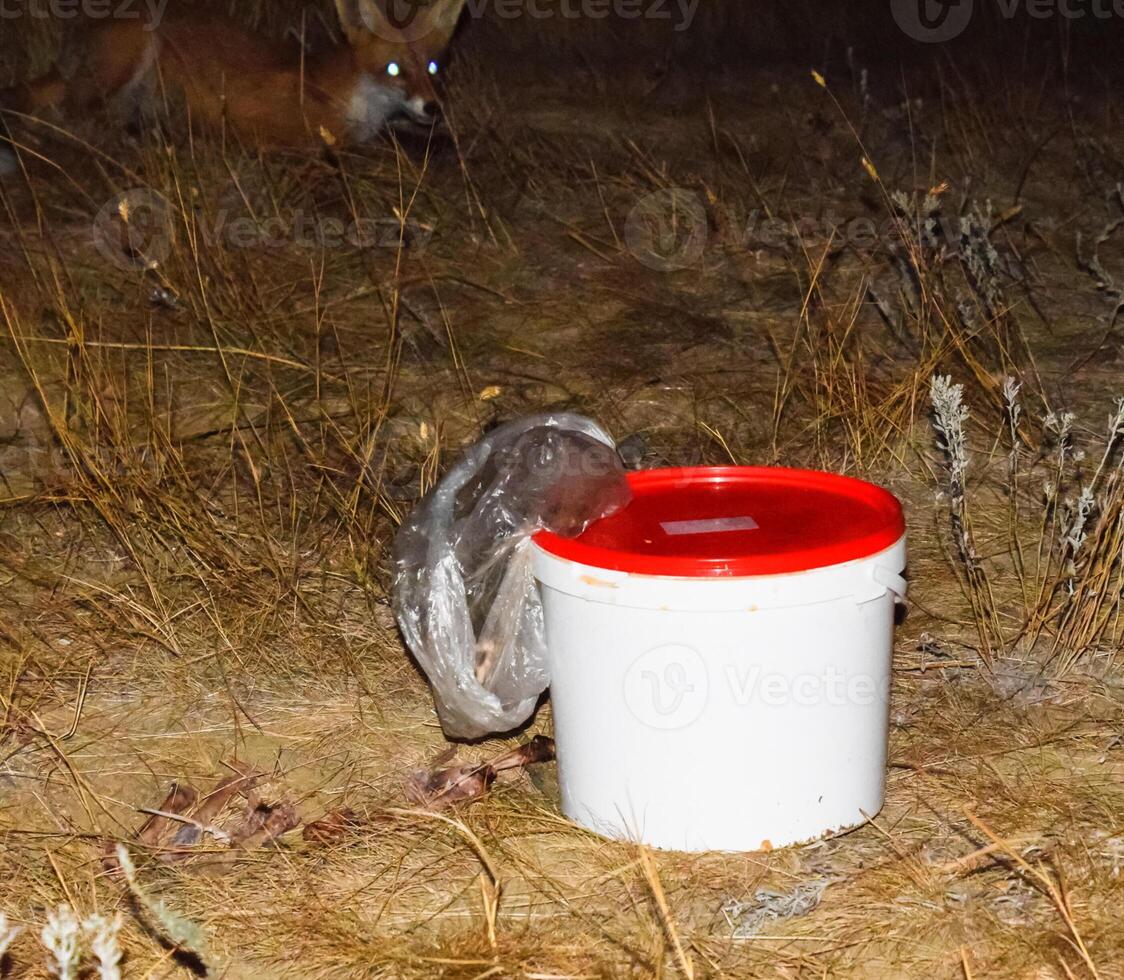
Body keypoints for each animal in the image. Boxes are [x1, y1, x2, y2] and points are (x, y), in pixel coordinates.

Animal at [2, 0, 467, 170]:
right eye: (393, 70)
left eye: (432, 66)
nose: (433, 108)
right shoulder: (305, 138)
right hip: (132, 54)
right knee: (73, 117)